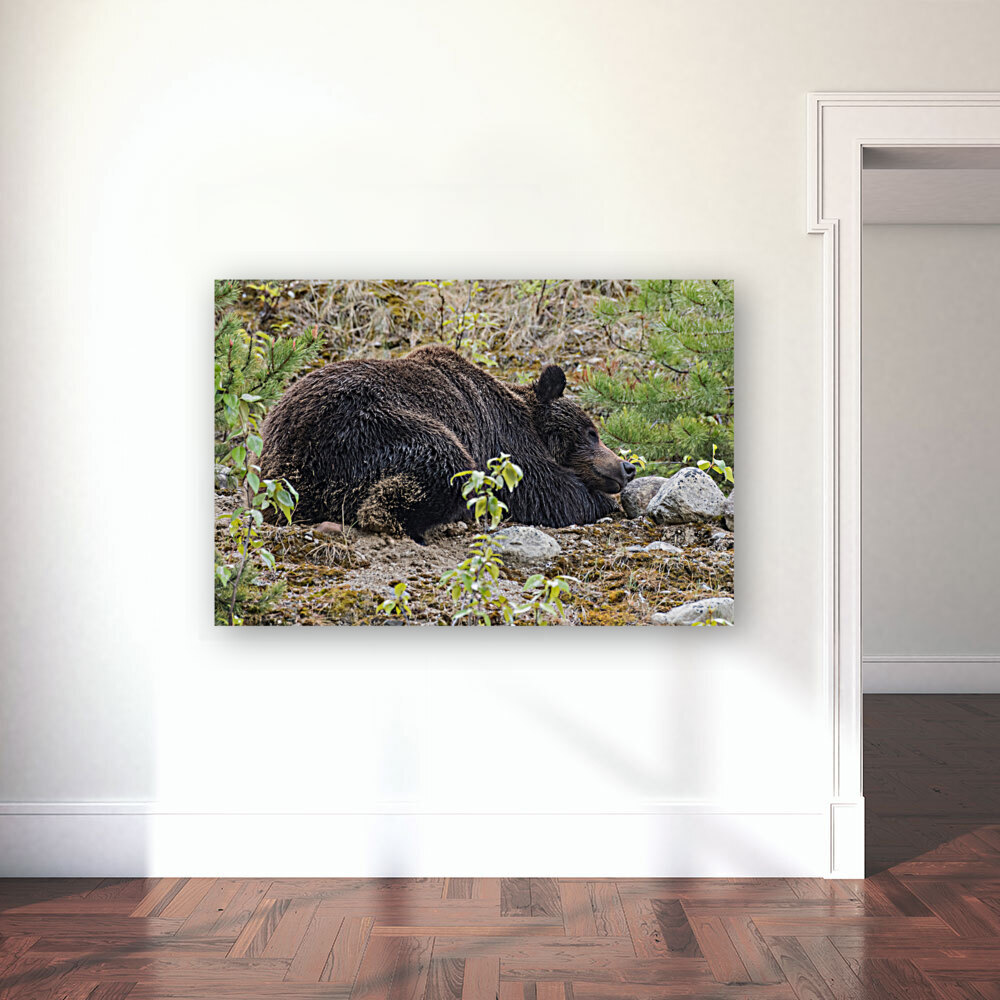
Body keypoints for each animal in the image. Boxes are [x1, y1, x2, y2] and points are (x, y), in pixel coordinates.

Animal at [259, 345, 635, 542]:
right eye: (591, 432)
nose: (627, 467)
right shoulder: (502, 440)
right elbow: (543, 490)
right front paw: (600, 501)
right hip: (366, 428)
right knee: (444, 464)